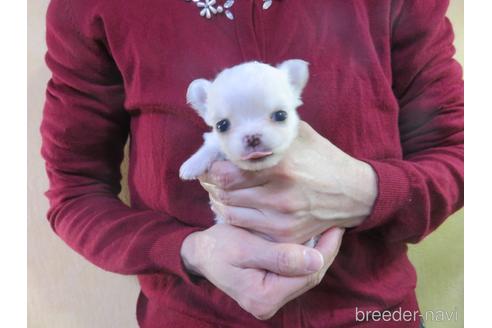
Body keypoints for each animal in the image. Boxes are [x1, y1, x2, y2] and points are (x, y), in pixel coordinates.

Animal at [180, 59, 316, 246]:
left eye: (281, 115)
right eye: (222, 125)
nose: (252, 137)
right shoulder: (214, 141)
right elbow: (211, 146)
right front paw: (192, 165)